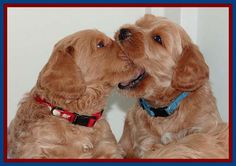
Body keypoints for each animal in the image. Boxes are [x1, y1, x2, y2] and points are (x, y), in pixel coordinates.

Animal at [114, 14, 229, 158]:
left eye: (158, 38)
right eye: (139, 24)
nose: (123, 31)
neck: (164, 110)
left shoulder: (205, 128)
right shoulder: (146, 142)